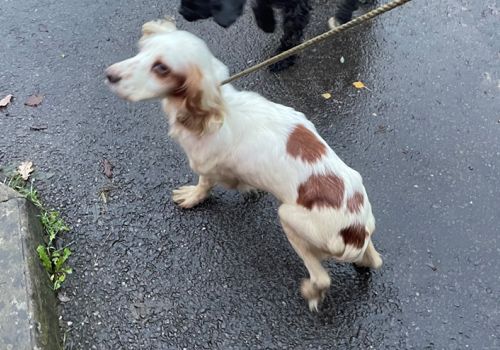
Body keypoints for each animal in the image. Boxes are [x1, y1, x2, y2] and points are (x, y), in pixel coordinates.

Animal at [103, 17, 380, 310]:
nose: (109, 74)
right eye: (142, 49)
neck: (216, 107)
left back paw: (312, 292)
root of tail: (356, 231)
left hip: (289, 218)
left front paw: (193, 197)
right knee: (374, 259)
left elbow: (204, 185)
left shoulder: (205, 165)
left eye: (161, 68)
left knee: (322, 278)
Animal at [181, 0, 372, 72]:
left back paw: (344, 16)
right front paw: (266, 22)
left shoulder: (297, 8)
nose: (182, 12)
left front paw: (283, 58)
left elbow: (291, 34)